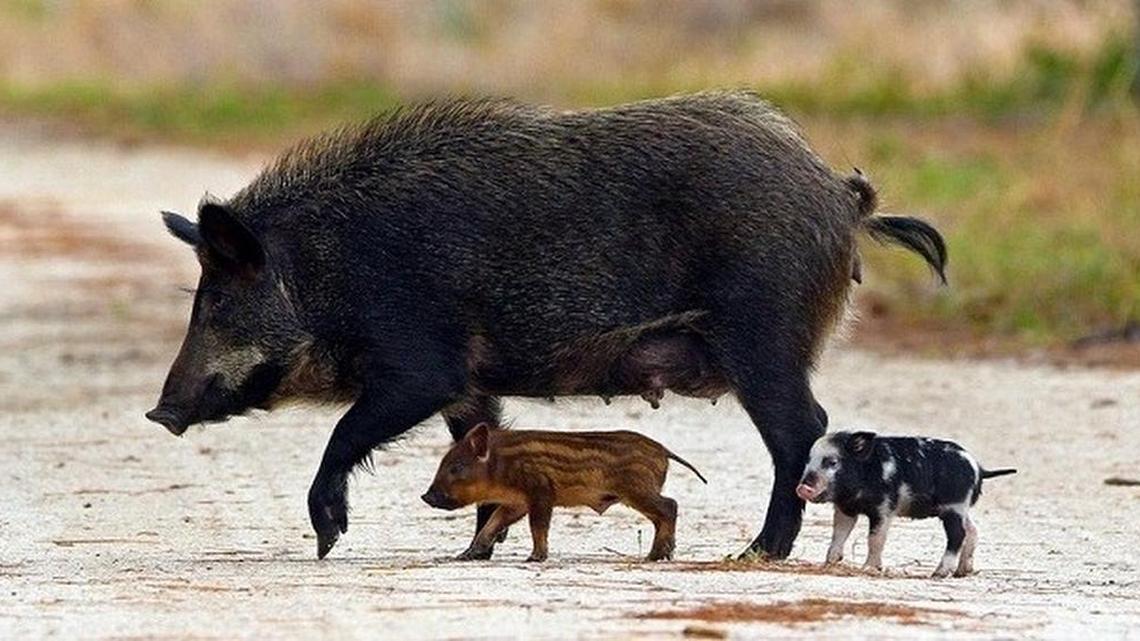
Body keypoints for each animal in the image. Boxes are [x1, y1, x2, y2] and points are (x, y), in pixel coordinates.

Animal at [421, 424, 707, 562]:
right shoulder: (516, 502)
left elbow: (538, 525)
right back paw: (660, 555)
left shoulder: (541, 492)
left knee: (670, 506)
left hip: (637, 490)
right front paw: (465, 556)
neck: (500, 465)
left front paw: (535, 558)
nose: (426, 496)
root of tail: (664, 450)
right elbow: (493, 523)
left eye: (456, 467)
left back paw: (655, 556)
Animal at [796, 431, 1016, 577]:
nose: (802, 487)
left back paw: (938, 573)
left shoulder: (884, 509)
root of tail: (978, 468)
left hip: (955, 506)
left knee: (958, 535)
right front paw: (829, 563)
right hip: (961, 509)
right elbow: (838, 534)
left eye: (832, 462)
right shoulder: (846, 509)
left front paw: (869, 568)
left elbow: (875, 539)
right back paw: (962, 572)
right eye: (807, 461)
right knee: (972, 530)